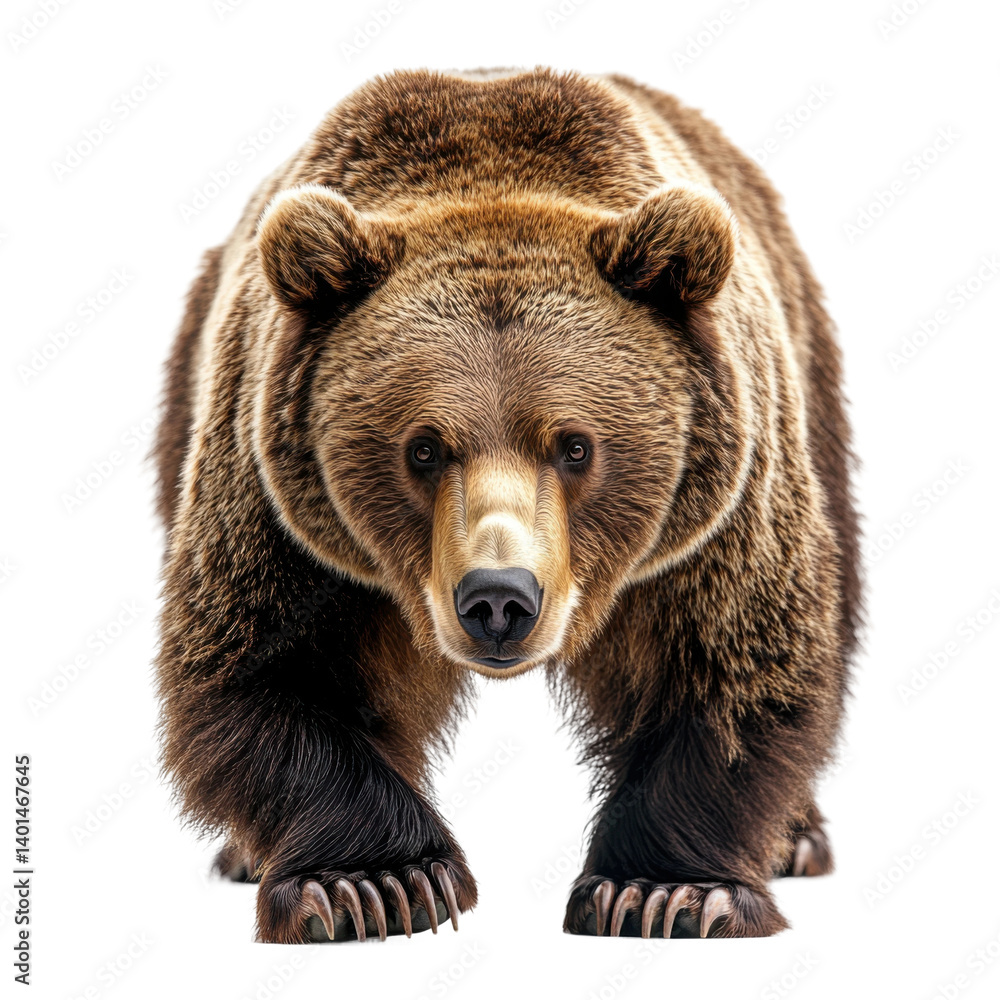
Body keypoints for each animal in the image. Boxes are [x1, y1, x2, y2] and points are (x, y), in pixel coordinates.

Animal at [154, 67, 860, 943]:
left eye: (575, 445)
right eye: (423, 448)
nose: (498, 599)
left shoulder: (713, 525)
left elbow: (732, 670)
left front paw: (665, 892)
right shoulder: (282, 514)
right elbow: (266, 668)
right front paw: (375, 883)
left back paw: (797, 837)